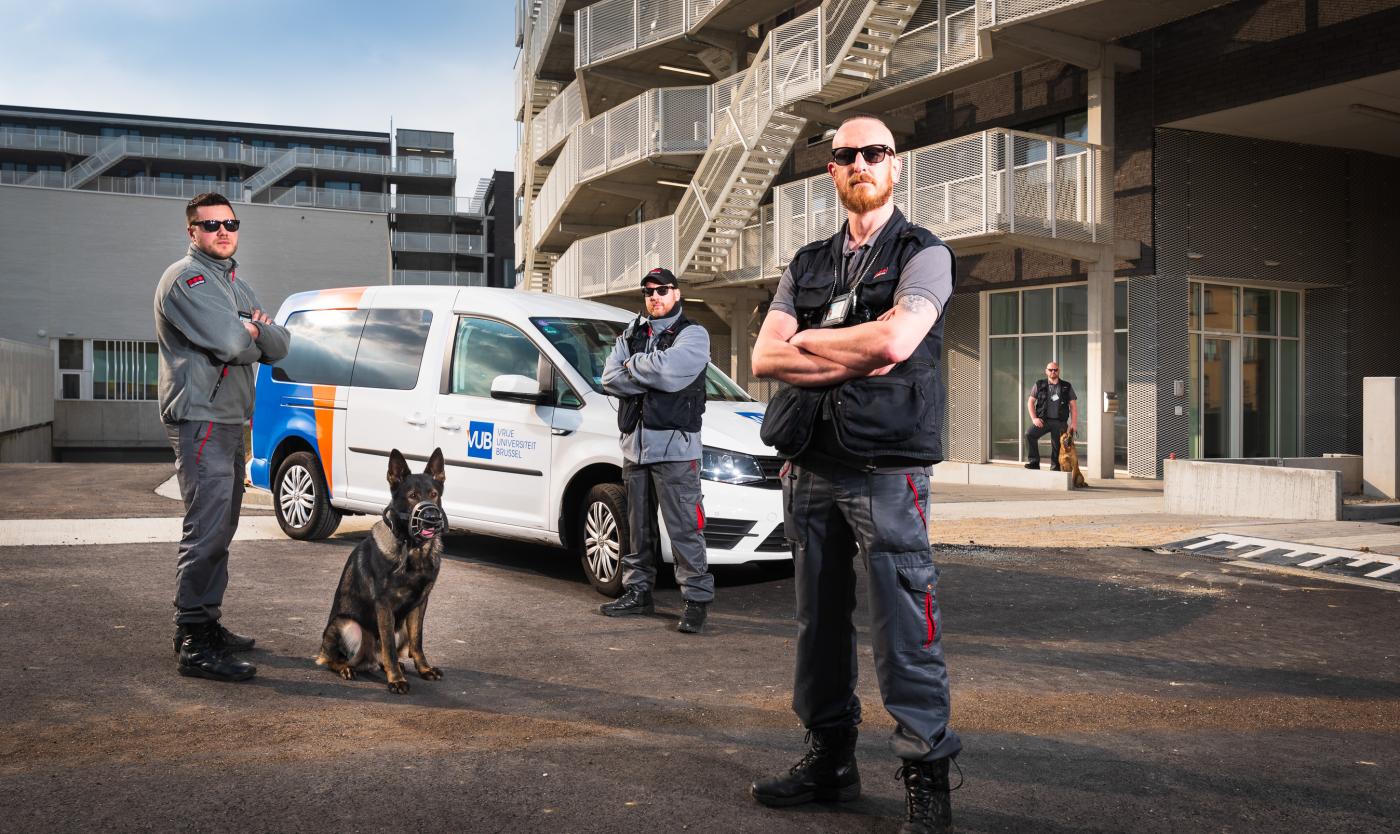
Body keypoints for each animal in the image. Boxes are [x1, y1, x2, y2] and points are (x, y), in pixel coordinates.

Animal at [317, 444, 448, 694]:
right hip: (349, 626)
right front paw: (396, 680)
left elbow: (418, 642)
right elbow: (388, 646)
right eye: (412, 496)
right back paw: (347, 668)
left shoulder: (420, 603)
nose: (431, 517)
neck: (412, 550)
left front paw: (424, 669)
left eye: (434, 495)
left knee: (387, 655)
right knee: (333, 659)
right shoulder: (384, 605)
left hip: (402, 626)